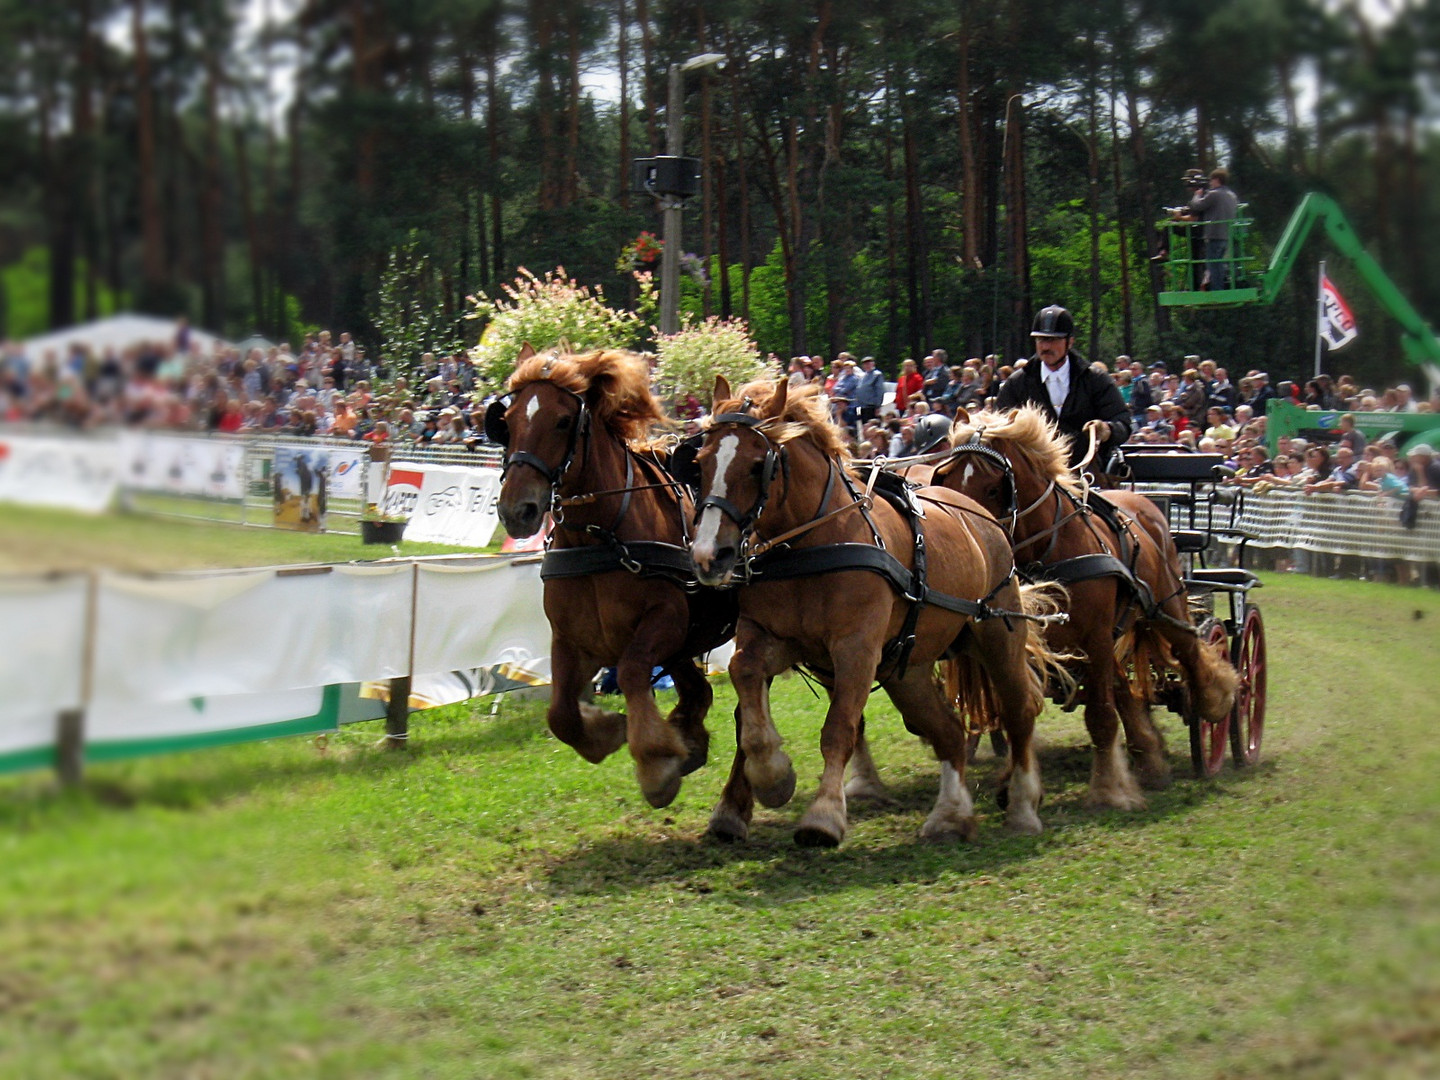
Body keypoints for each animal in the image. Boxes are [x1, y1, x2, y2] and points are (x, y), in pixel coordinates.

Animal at [489, 347, 737, 812]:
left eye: (562, 420)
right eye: (506, 421)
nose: (517, 510)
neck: (602, 537)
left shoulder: (665, 621)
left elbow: (635, 672)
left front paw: (657, 761)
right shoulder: (574, 639)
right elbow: (561, 714)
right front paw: (610, 730)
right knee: (698, 692)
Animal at [685, 377, 1071, 852]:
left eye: (759, 465)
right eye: (700, 463)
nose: (709, 556)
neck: (815, 543)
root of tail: (982, 518)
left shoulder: (856, 649)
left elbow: (839, 729)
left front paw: (824, 816)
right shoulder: (770, 639)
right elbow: (744, 679)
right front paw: (772, 777)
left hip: (998, 636)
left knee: (1019, 710)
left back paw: (1021, 806)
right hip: (907, 670)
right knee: (948, 731)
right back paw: (950, 814)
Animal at [933, 408, 1238, 812]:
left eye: (995, 487)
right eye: (946, 477)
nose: (965, 534)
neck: (1049, 548)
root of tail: (1149, 506)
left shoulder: (1095, 637)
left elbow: (1101, 715)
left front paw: (1109, 790)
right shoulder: (1031, 642)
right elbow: (1020, 708)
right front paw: (1014, 783)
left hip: (1164, 606)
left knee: (1190, 650)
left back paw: (1217, 703)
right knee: (1124, 687)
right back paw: (1150, 756)